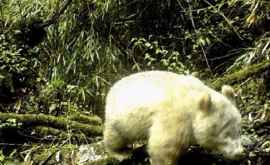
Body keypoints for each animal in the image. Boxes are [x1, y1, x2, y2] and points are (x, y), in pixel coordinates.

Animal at [103, 70, 243, 164]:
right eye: (225, 133)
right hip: (120, 116)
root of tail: (112, 88)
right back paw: (121, 153)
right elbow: (163, 146)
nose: (239, 153)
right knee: (116, 136)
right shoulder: (175, 117)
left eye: (238, 130)